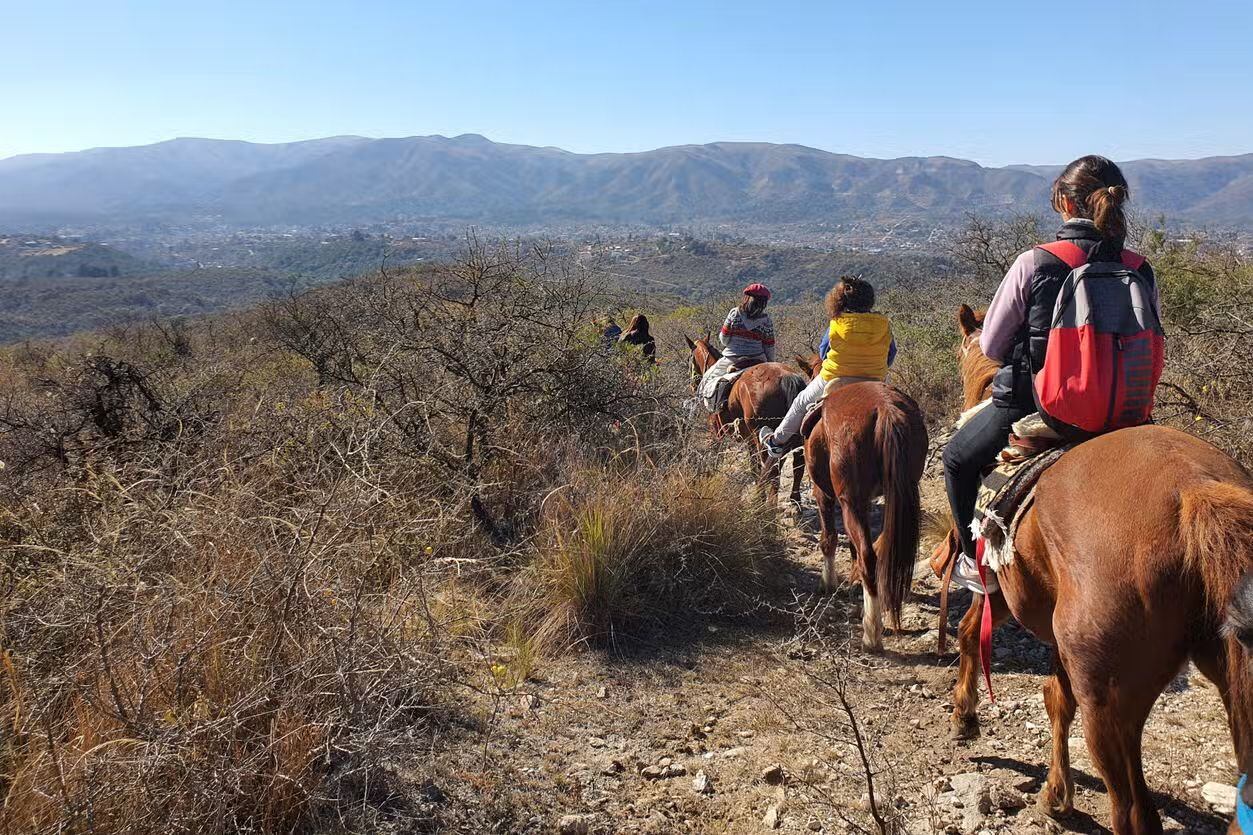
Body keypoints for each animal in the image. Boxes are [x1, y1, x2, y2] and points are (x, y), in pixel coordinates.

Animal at [681, 336, 806, 504]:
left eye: (690, 359)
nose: (692, 385)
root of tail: (786, 377)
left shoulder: (716, 432)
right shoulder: (749, 439)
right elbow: (754, 466)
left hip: (765, 439)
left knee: (772, 471)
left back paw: (766, 503)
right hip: (794, 436)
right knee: (797, 466)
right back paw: (794, 499)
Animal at [796, 351, 927, 651]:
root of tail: (886, 410)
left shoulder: (824, 494)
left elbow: (830, 538)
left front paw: (829, 583)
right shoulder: (866, 500)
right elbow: (853, 547)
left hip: (849, 501)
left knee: (868, 555)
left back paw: (871, 633)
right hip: (898, 494)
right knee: (881, 548)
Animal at [947, 302, 1253, 827]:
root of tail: (1194, 489)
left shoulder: (1001, 592)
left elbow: (970, 634)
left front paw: (965, 714)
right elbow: (1055, 698)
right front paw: (1056, 793)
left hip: (1108, 702)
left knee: (1132, 811)